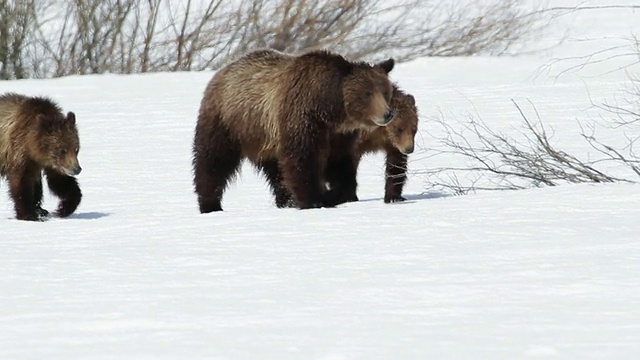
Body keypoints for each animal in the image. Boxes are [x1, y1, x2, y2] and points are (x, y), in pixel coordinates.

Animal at [0, 92, 82, 222]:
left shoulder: (52, 165)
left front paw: (63, 208)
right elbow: (21, 183)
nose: (76, 169)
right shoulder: (20, 152)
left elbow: (59, 181)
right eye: (62, 150)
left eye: (76, 149)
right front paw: (28, 215)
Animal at [192, 47, 398, 211]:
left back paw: (285, 200)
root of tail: (222, 71)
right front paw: (313, 199)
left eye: (385, 91)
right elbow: (301, 161)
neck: (328, 109)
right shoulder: (301, 118)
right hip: (230, 121)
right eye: (367, 93)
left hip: (266, 139)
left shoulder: (339, 134)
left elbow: (340, 164)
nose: (387, 114)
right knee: (213, 160)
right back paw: (210, 204)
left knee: (276, 173)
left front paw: (334, 194)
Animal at [262, 84, 418, 208]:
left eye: (414, 128)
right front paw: (349, 196)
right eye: (399, 128)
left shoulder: (392, 144)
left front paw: (393, 197)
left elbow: (396, 165)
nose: (409, 149)